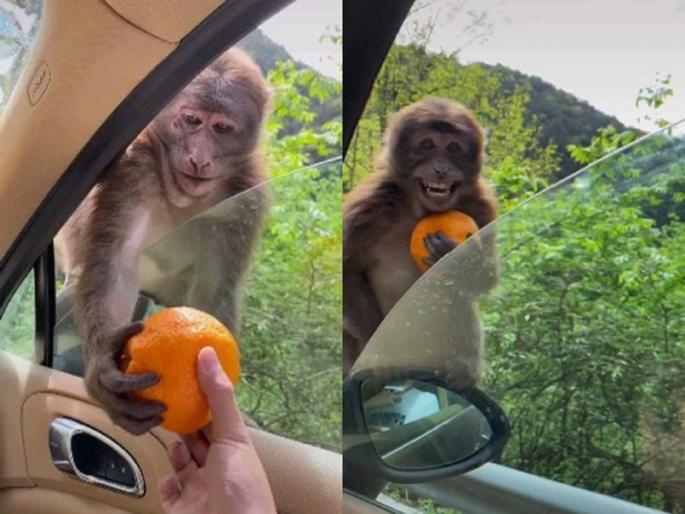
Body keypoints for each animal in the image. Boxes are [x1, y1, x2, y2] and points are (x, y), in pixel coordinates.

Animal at [55, 48, 270, 435]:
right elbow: (117, 262)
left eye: (221, 128)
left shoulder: (245, 201)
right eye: (191, 120)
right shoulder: (134, 170)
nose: (199, 157)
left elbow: (214, 290)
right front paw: (103, 366)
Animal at [342, 97, 498, 386]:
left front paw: (452, 255)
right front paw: (381, 353)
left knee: (458, 294)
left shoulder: (482, 205)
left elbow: (488, 277)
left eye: (454, 147)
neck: (420, 209)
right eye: (427, 144)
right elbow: (348, 270)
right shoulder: (371, 204)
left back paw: (463, 367)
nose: (441, 169)